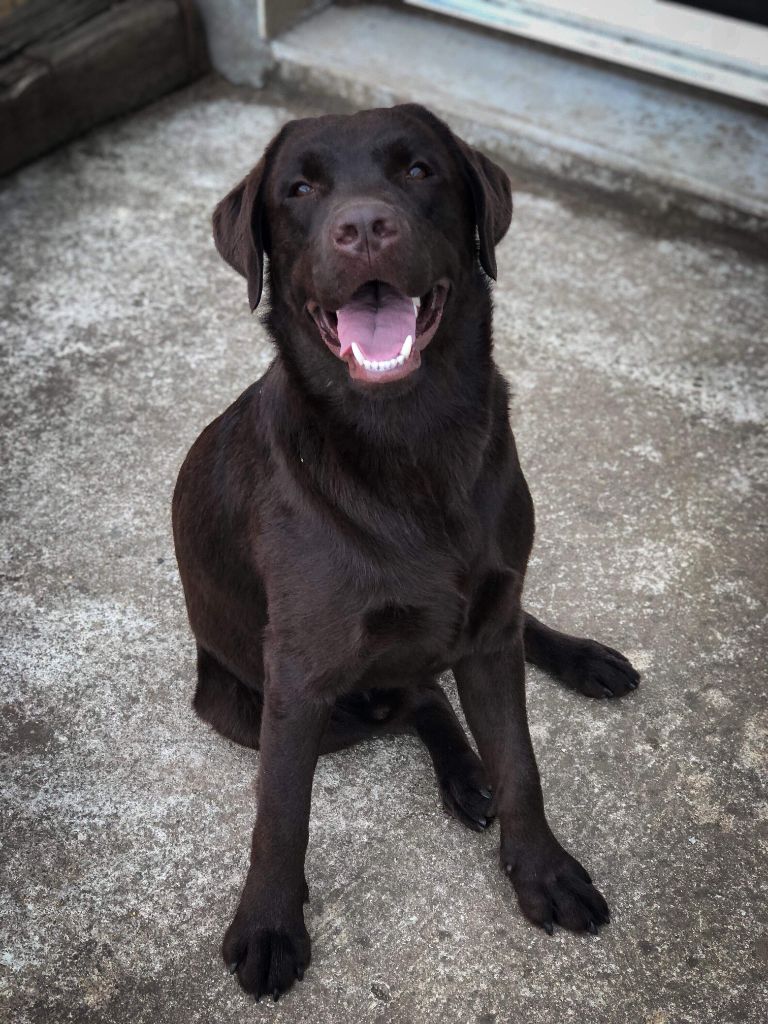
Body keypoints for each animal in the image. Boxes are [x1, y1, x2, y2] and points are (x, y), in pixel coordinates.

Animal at [171, 103, 638, 999]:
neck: (407, 442)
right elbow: (280, 815)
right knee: (412, 694)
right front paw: (269, 925)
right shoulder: (299, 677)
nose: (362, 227)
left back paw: (580, 663)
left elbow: (522, 761)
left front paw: (542, 871)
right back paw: (462, 770)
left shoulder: (488, 632)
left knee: (481, 648)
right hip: (261, 705)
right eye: (300, 189)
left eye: (419, 170)